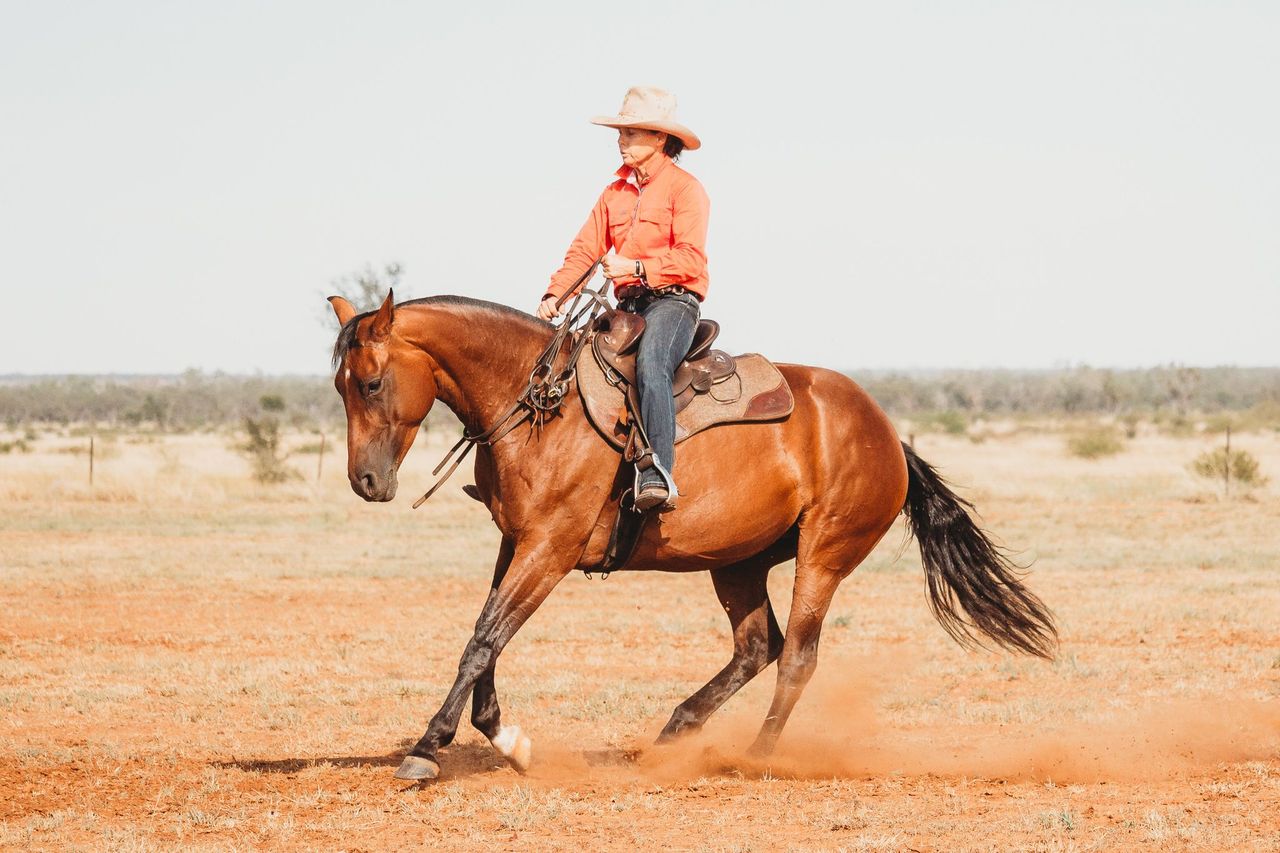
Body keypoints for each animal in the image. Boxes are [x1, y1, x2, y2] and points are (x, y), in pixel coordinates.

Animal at [327, 291, 1057, 781]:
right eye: (339, 385)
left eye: (371, 382)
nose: (364, 479)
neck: (540, 405)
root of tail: (887, 433)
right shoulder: (516, 544)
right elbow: (488, 640)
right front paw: (505, 738)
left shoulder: (550, 549)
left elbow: (483, 640)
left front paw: (427, 748)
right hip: (737, 562)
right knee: (757, 646)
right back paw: (676, 731)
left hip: (823, 555)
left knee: (797, 656)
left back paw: (755, 755)